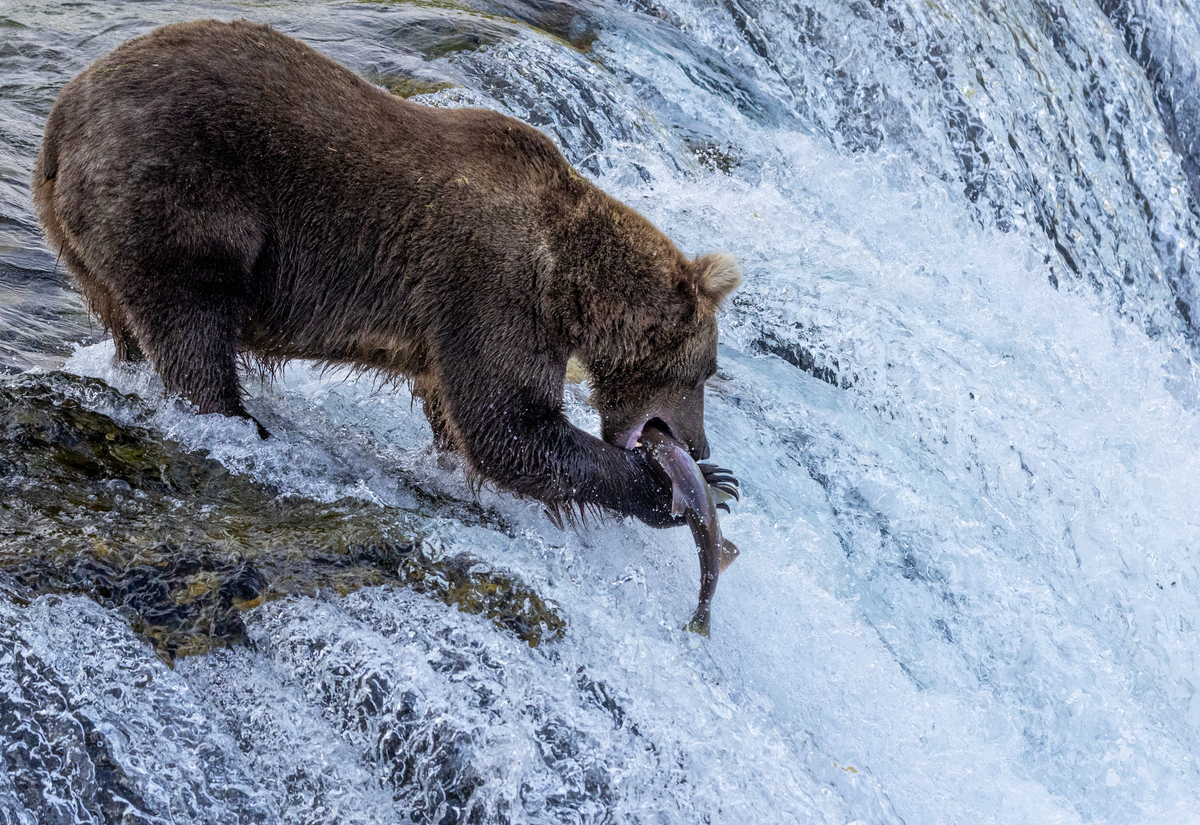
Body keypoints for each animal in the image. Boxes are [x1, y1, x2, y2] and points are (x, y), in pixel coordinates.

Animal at [32, 19, 741, 526]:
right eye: (704, 371)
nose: (701, 447)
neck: (569, 282)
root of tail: (61, 120)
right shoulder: (493, 288)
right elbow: (508, 424)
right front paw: (690, 489)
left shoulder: (452, 328)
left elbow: (464, 417)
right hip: (181, 197)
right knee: (192, 322)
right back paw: (240, 422)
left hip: (82, 240)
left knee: (134, 324)